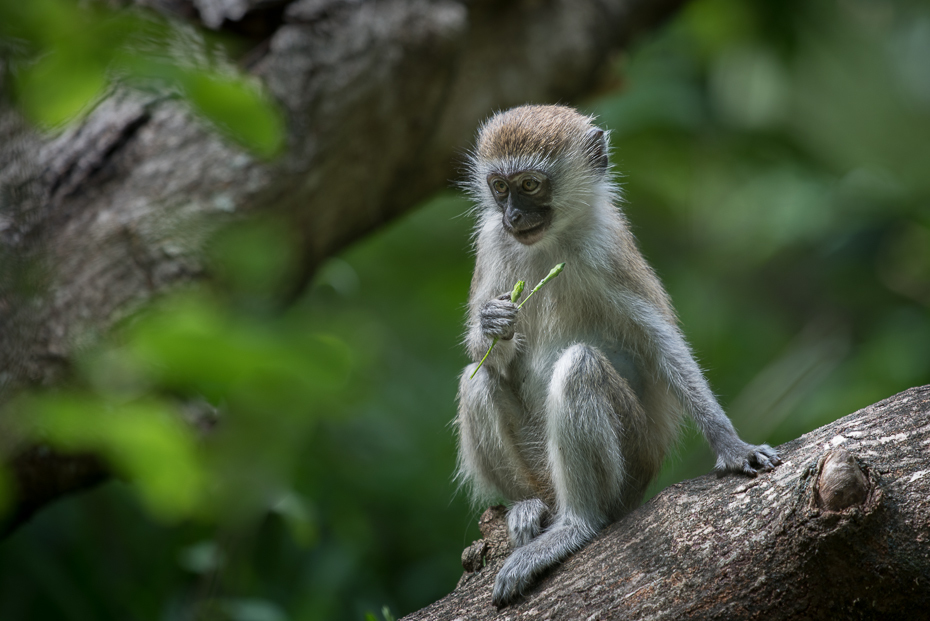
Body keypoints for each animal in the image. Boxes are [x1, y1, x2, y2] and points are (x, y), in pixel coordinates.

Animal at [454, 105, 780, 604]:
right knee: (478, 379)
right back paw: (528, 505)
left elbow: (660, 342)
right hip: (540, 467)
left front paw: (730, 444)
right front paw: (494, 324)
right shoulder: (492, 242)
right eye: (500, 187)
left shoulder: (607, 248)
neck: (552, 240)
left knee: (580, 367)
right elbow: (486, 353)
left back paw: (578, 523)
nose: (512, 215)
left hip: (632, 461)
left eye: (529, 185)